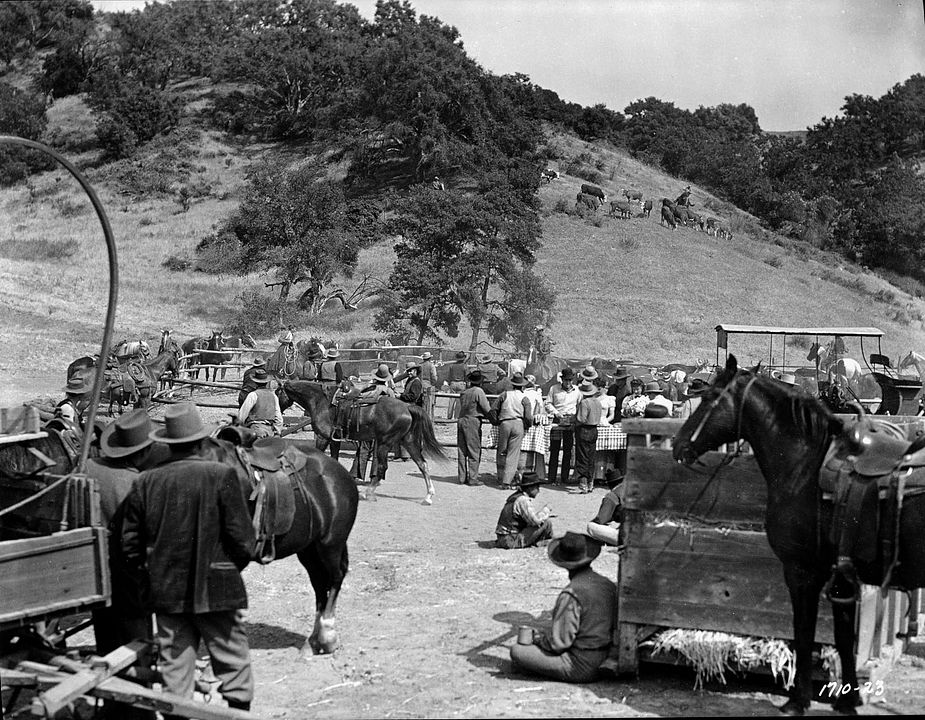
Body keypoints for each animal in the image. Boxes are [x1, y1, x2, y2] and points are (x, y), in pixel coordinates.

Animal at [197, 434, 360, 652]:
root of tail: (341, 473)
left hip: (330, 543)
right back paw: (314, 640)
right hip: (309, 550)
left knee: (335, 577)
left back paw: (327, 636)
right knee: (319, 582)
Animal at [276, 380, 446, 504]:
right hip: (409, 442)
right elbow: (334, 458)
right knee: (422, 464)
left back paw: (368, 493)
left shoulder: (323, 437)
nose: (278, 411)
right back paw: (428, 496)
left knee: (383, 466)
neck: (320, 400)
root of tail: (407, 407)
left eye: (278, 392)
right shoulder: (334, 439)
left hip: (384, 444)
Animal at [672, 354, 924, 716]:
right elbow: (843, 637)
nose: (679, 445)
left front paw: (797, 699)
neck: (807, 465)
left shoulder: (801, 572)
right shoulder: (841, 577)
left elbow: (803, 633)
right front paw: (848, 700)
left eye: (709, 397)